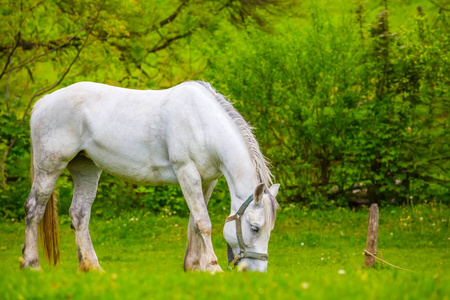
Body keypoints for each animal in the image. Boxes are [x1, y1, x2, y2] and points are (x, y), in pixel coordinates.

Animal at [22, 81, 282, 274]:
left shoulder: (207, 181)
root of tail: (44, 102)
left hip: (86, 169)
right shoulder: (186, 172)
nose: (257, 272)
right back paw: (31, 264)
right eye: (255, 227)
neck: (202, 124)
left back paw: (92, 267)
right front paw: (212, 266)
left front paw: (193, 267)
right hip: (50, 167)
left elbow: (194, 221)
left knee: (79, 215)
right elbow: (203, 223)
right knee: (33, 209)